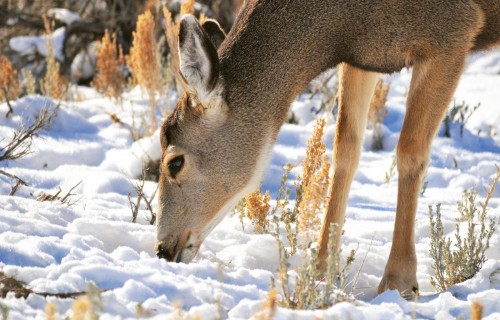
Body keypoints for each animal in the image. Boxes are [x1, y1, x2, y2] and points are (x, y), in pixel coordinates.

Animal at [156, 0, 500, 298]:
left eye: (175, 162)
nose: (162, 249)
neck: (343, 22)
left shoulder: (452, 32)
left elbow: (410, 152)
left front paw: (399, 281)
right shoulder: (363, 55)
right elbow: (344, 148)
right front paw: (321, 271)